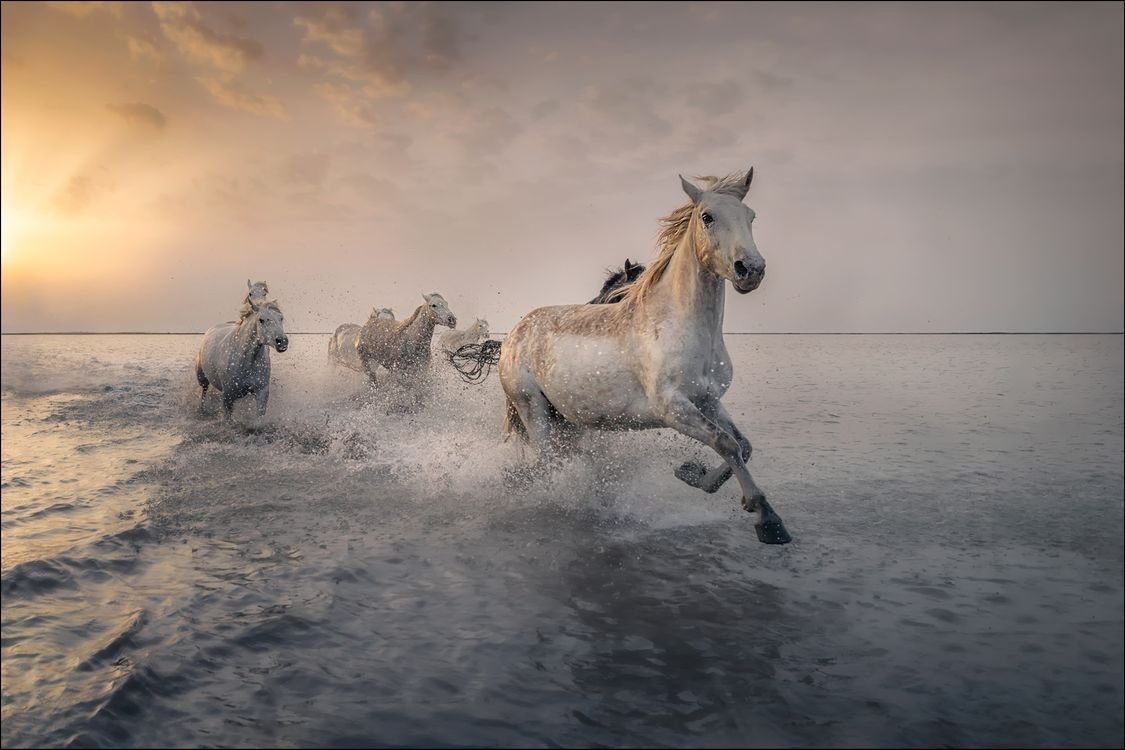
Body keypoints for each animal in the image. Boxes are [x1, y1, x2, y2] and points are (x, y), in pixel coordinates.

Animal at [498, 167, 790, 545]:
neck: (678, 324)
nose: (750, 269)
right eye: (707, 217)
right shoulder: (672, 408)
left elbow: (743, 445)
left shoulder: (708, 400)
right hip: (533, 410)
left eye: (751, 216)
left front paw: (692, 473)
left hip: (566, 419)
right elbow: (724, 442)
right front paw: (768, 520)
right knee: (550, 464)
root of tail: (513, 334)